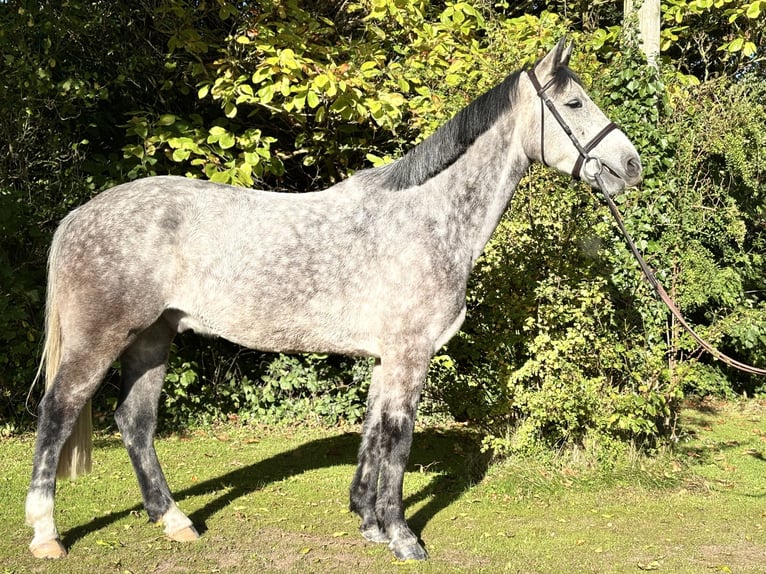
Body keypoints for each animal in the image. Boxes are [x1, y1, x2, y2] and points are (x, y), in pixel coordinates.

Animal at [26, 38, 641, 561]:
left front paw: (369, 523)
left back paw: (174, 520)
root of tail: (79, 216)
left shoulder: (386, 357)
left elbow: (373, 433)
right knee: (57, 413)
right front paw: (402, 536)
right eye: (573, 101)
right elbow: (398, 438)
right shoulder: (409, 353)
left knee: (135, 422)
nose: (631, 165)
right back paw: (45, 534)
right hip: (100, 339)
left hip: (154, 336)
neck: (429, 218)